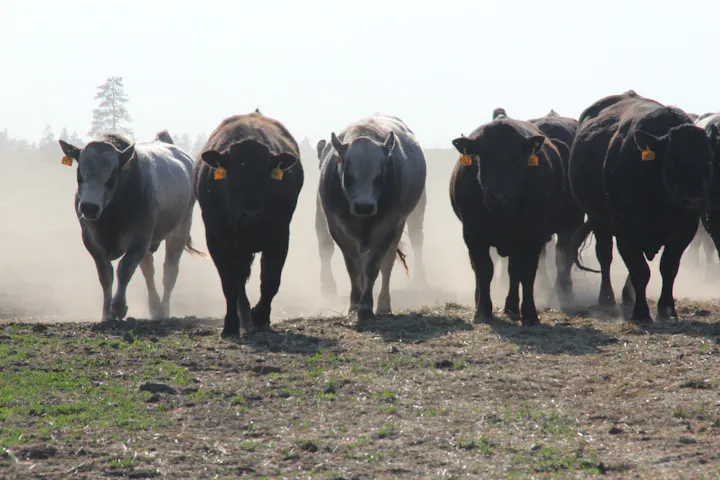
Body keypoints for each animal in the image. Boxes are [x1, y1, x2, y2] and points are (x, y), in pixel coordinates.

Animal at [58, 131, 201, 322]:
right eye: (79, 175)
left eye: (111, 178)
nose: (89, 207)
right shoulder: (91, 242)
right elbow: (106, 275)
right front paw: (106, 314)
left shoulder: (140, 239)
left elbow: (124, 270)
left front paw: (118, 307)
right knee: (148, 271)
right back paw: (154, 306)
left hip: (181, 228)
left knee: (170, 271)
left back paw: (163, 310)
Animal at [193, 111, 304, 337]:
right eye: (233, 174)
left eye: (265, 174)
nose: (251, 213)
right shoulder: (217, 240)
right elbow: (229, 284)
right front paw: (230, 325)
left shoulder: (280, 238)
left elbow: (270, 281)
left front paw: (260, 317)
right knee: (239, 281)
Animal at [317, 114, 426, 321]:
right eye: (348, 172)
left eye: (380, 173)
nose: (364, 206)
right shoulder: (336, 227)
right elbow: (353, 268)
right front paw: (354, 304)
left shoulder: (388, 226)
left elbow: (373, 267)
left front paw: (366, 306)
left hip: (399, 227)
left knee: (387, 265)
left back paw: (383, 304)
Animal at [450, 115, 564, 326]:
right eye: (483, 156)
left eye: (517, 158)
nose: (498, 196)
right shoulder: (473, 235)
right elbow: (484, 270)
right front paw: (483, 311)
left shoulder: (533, 236)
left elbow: (526, 272)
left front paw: (530, 313)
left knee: (514, 271)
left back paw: (512, 306)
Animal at [569, 90, 716, 323]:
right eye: (672, 164)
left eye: (708, 162)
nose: (693, 200)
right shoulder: (625, 230)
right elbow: (640, 270)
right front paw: (641, 312)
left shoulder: (685, 231)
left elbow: (668, 268)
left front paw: (667, 309)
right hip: (598, 221)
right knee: (605, 257)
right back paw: (607, 299)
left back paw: (627, 296)